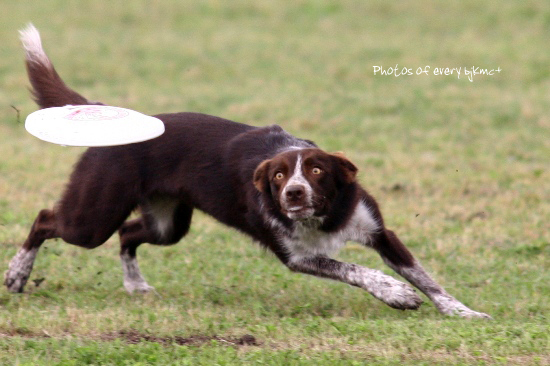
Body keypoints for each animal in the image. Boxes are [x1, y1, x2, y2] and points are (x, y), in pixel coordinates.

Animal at [5, 25, 492, 318]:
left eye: (317, 171)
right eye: (278, 177)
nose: (293, 194)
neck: (323, 215)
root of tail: (109, 111)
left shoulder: (378, 231)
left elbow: (425, 277)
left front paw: (461, 312)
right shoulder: (297, 256)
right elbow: (357, 269)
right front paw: (395, 293)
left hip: (167, 222)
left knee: (129, 234)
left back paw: (136, 285)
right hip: (93, 215)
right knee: (47, 220)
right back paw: (17, 274)